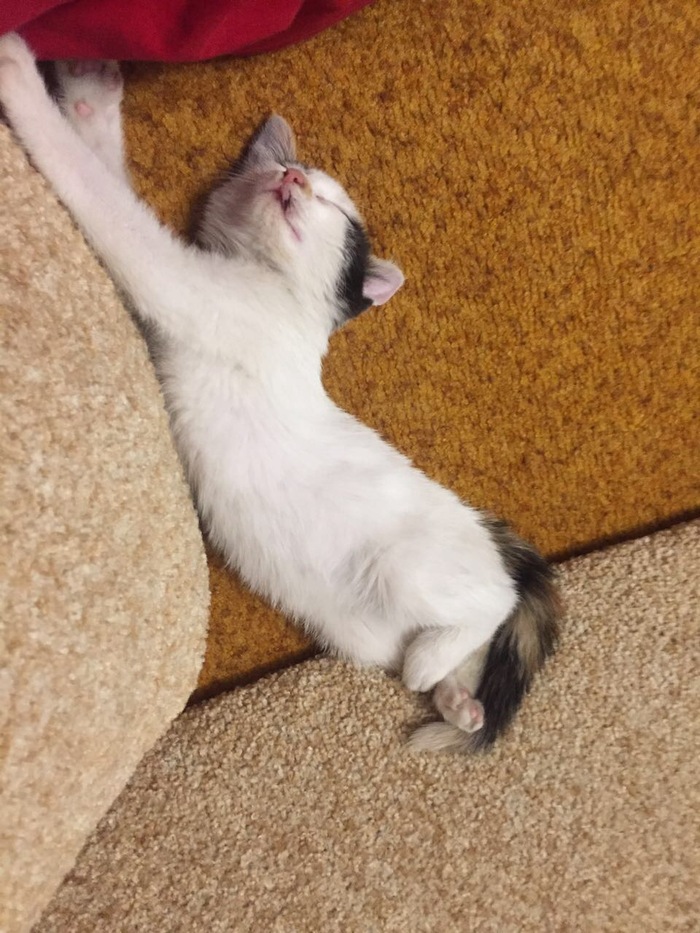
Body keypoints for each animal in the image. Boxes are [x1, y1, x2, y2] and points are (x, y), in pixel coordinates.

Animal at [0, 34, 560, 752]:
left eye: (333, 208)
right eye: (287, 169)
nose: (292, 180)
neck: (266, 282)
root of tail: (486, 531)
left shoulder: (183, 286)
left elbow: (108, 202)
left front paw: (19, 79)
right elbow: (103, 161)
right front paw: (88, 87)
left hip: (411, 566)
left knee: (494, 603)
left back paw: (431, 665)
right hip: (377, 627)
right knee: (462, 649)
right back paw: (457, 699)